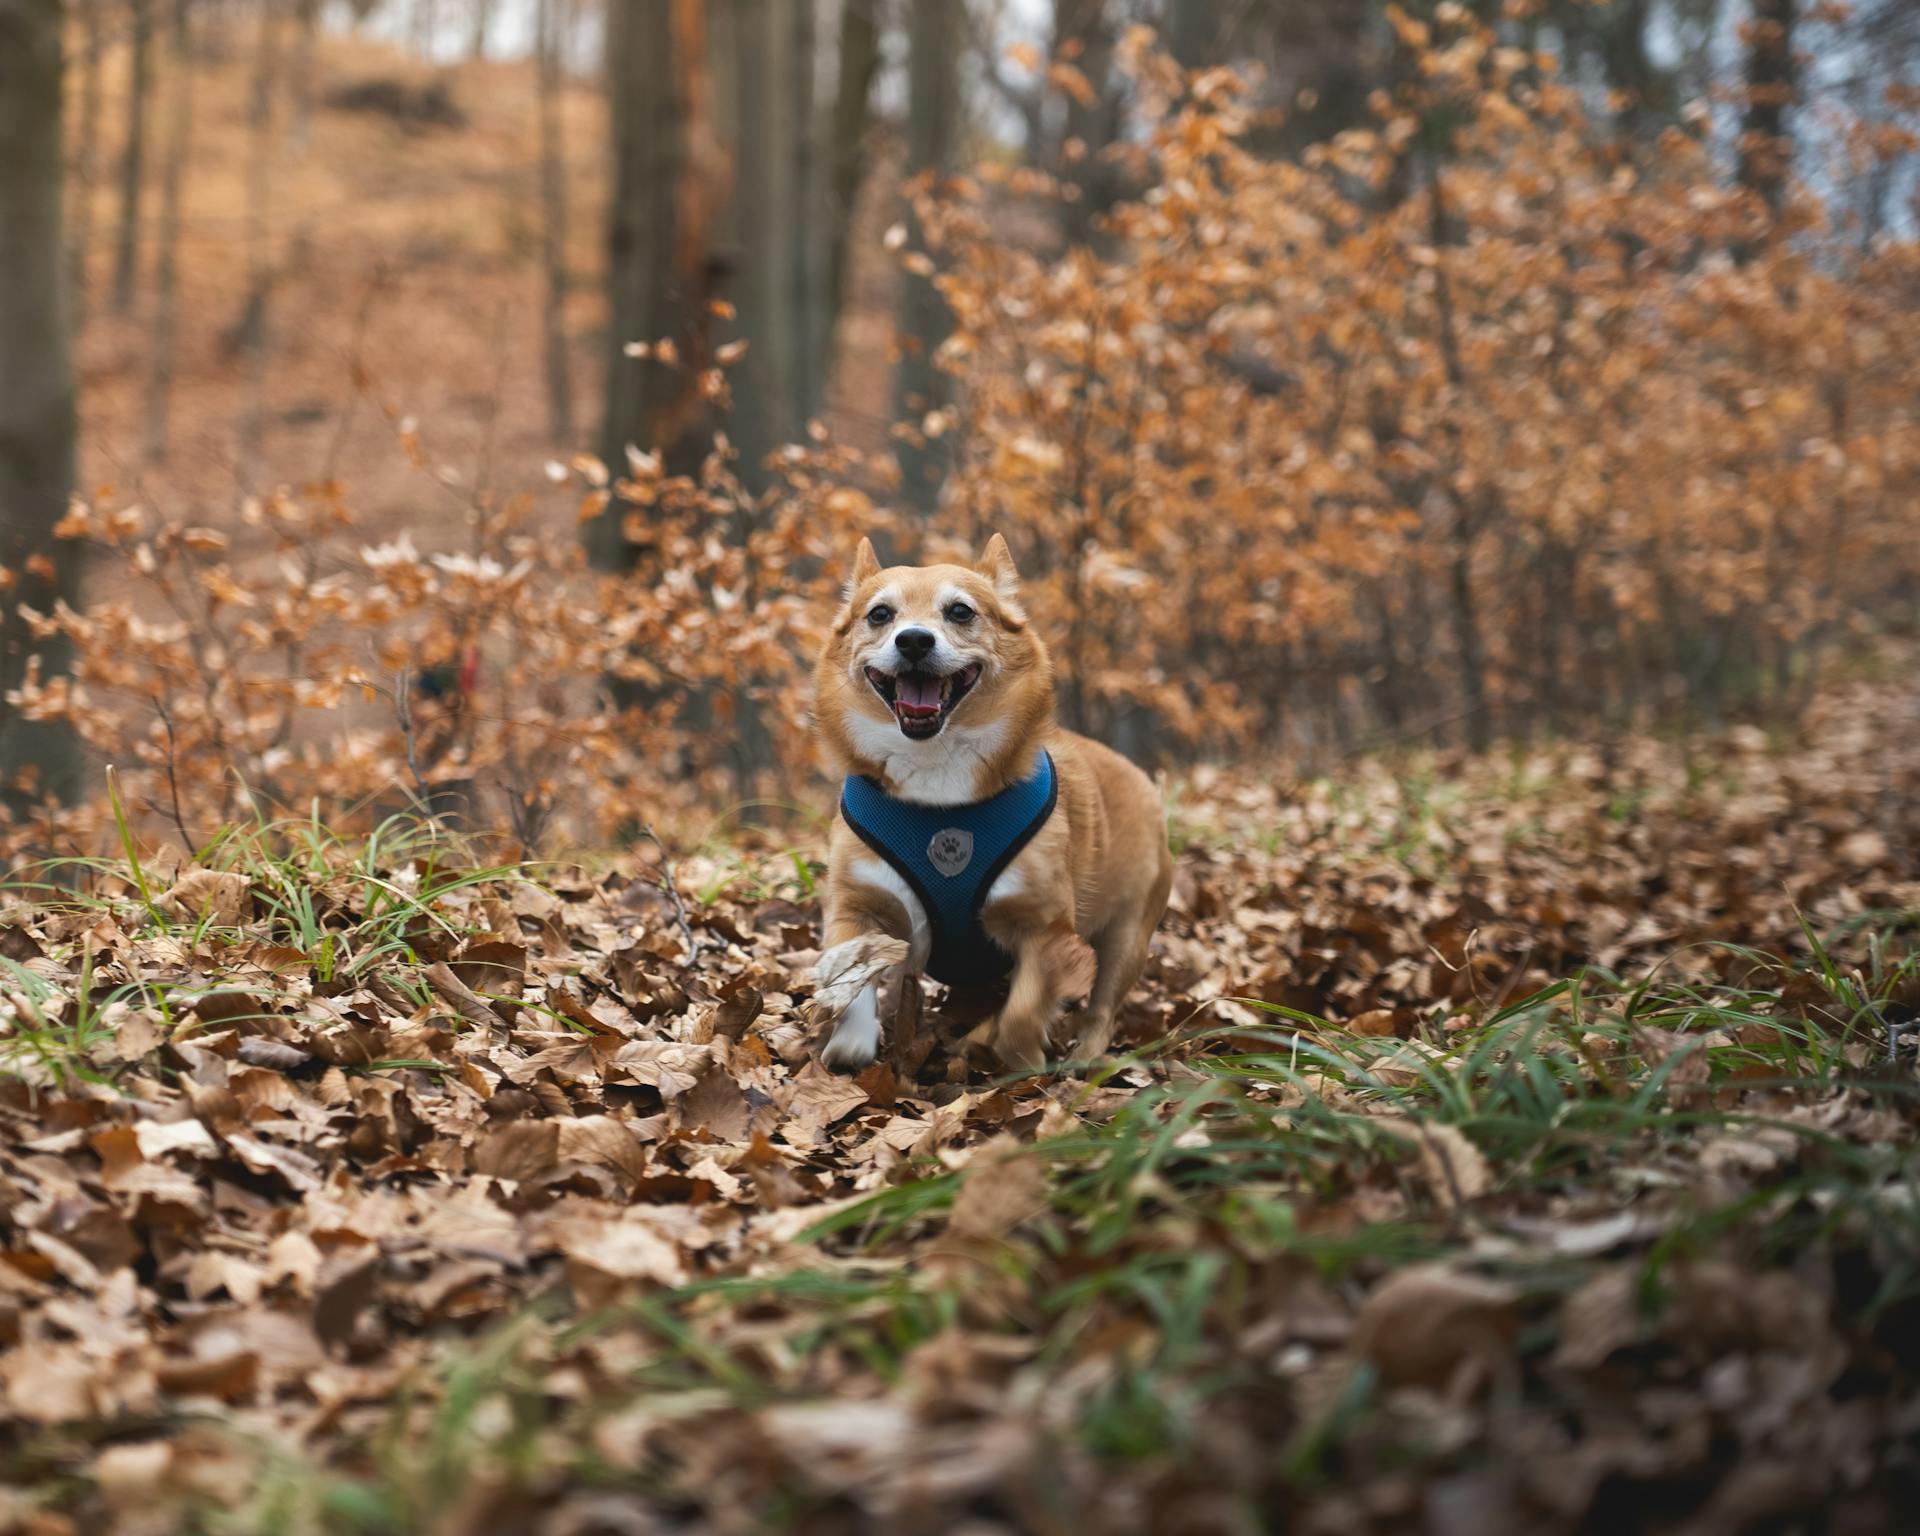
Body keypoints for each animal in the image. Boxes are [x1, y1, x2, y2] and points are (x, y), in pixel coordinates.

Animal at [810, 533, 1167, 1075]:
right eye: (879, 615)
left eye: (960, 611)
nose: (914, 640)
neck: (936, 770)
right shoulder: (856, 907)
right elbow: (851, 980)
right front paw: (851, 1045)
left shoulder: (1042, 926)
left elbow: (1022, 1013)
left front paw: (1018, 1059)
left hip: (1127, 938)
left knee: (1102, 1011)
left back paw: (1081, 1058)